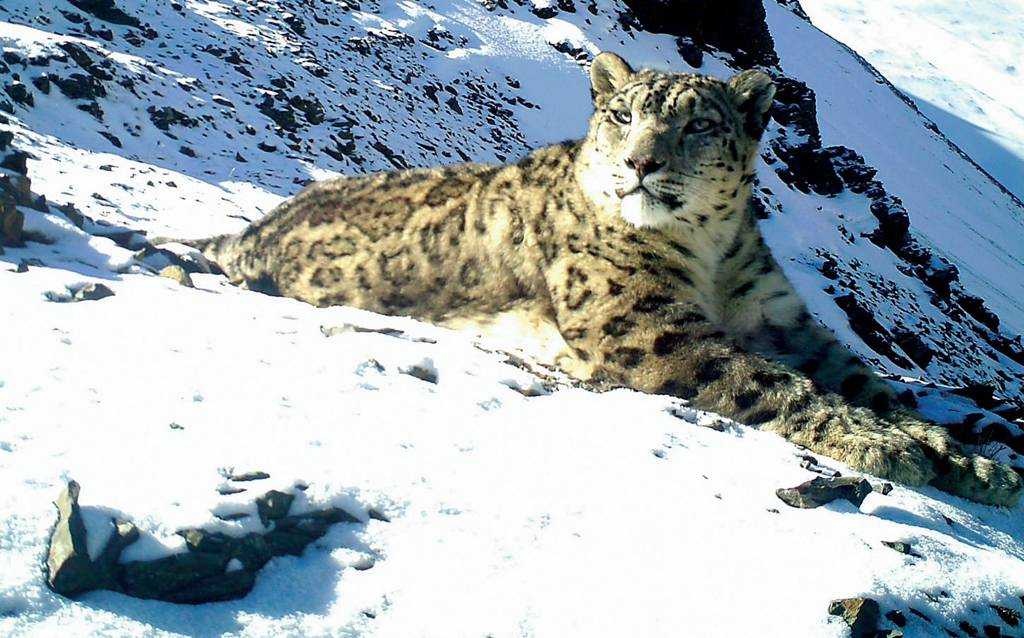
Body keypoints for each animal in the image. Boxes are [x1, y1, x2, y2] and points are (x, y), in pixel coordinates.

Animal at [184, 52, 1015, 505]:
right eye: (622, 115)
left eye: (699, 125)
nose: (641, 162)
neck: (711, 254)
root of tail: (256, 225)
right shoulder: (648, 322)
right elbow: (778, 385)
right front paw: (889, 447)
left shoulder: (781, 319)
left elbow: (866, 382)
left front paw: (970, 458)